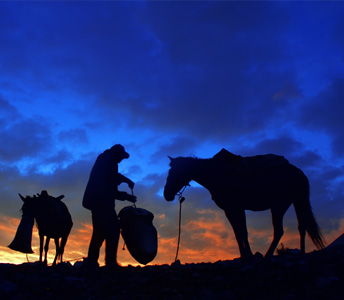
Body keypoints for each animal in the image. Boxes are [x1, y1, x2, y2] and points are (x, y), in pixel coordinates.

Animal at [164, 149, 326, 258]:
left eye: (173, 172)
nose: (166, 194)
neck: (218, 174)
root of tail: (299, 173)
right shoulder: (232, 210)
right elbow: (238, 233)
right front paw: (244, 256)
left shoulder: (234, 208)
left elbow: (242, 232)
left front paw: (248, 255)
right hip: (296, 202)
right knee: (302, 227)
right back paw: (302, 253)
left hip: (278, 206)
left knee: (280, 231)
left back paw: (267, 256)